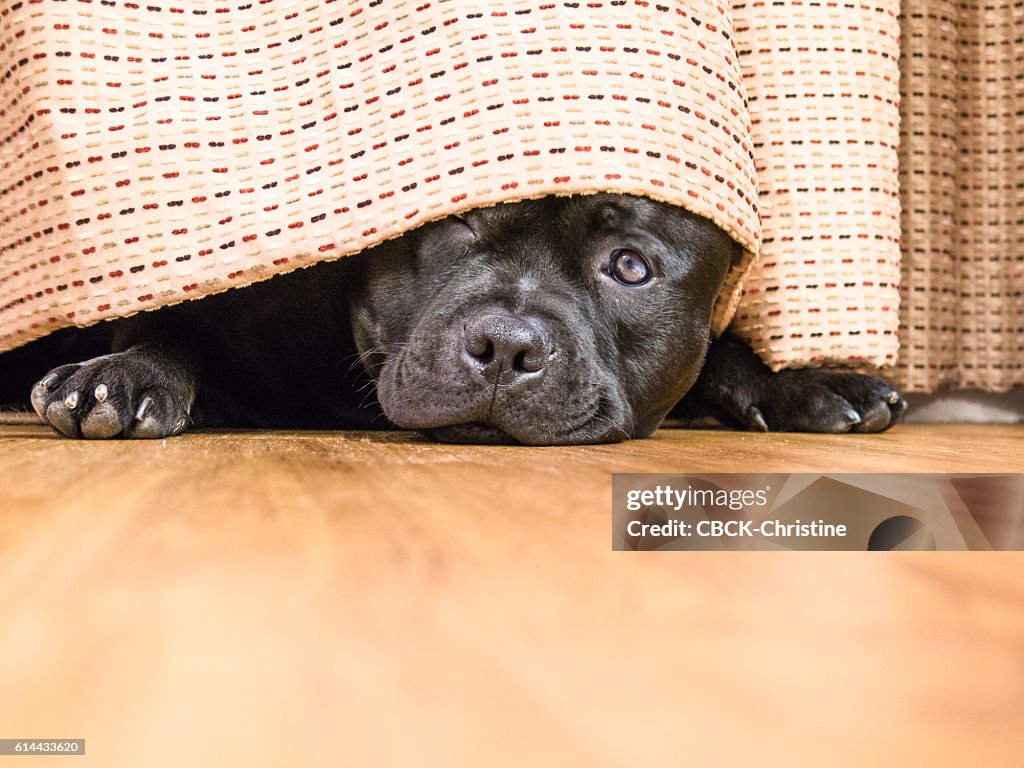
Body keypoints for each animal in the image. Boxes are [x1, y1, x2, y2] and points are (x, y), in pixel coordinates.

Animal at [16, 193, 905, 444]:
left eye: (630, 267)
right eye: (457, 222)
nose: (506, 345)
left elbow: (720, 352)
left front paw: (808, 382)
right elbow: (162, 326)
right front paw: (122, 376)